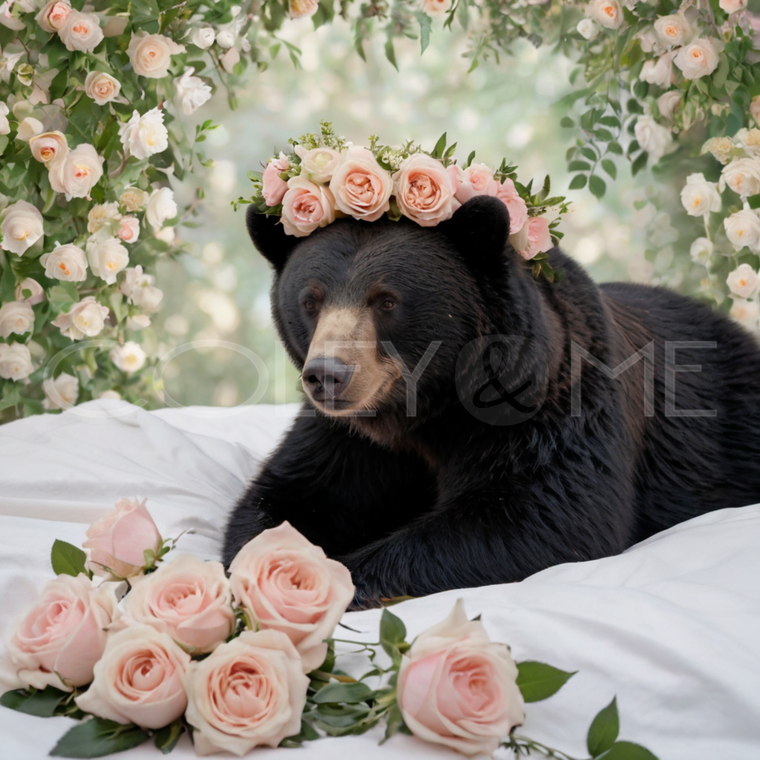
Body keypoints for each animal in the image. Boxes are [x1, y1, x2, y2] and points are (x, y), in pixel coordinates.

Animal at [223, 195, 760, 608]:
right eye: (310, 300)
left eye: (387, 299)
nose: (328, 375)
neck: (430, 410)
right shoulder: (351, 439)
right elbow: (291, 495)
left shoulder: (549, 407)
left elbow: (542, 514)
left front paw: (339, 576)